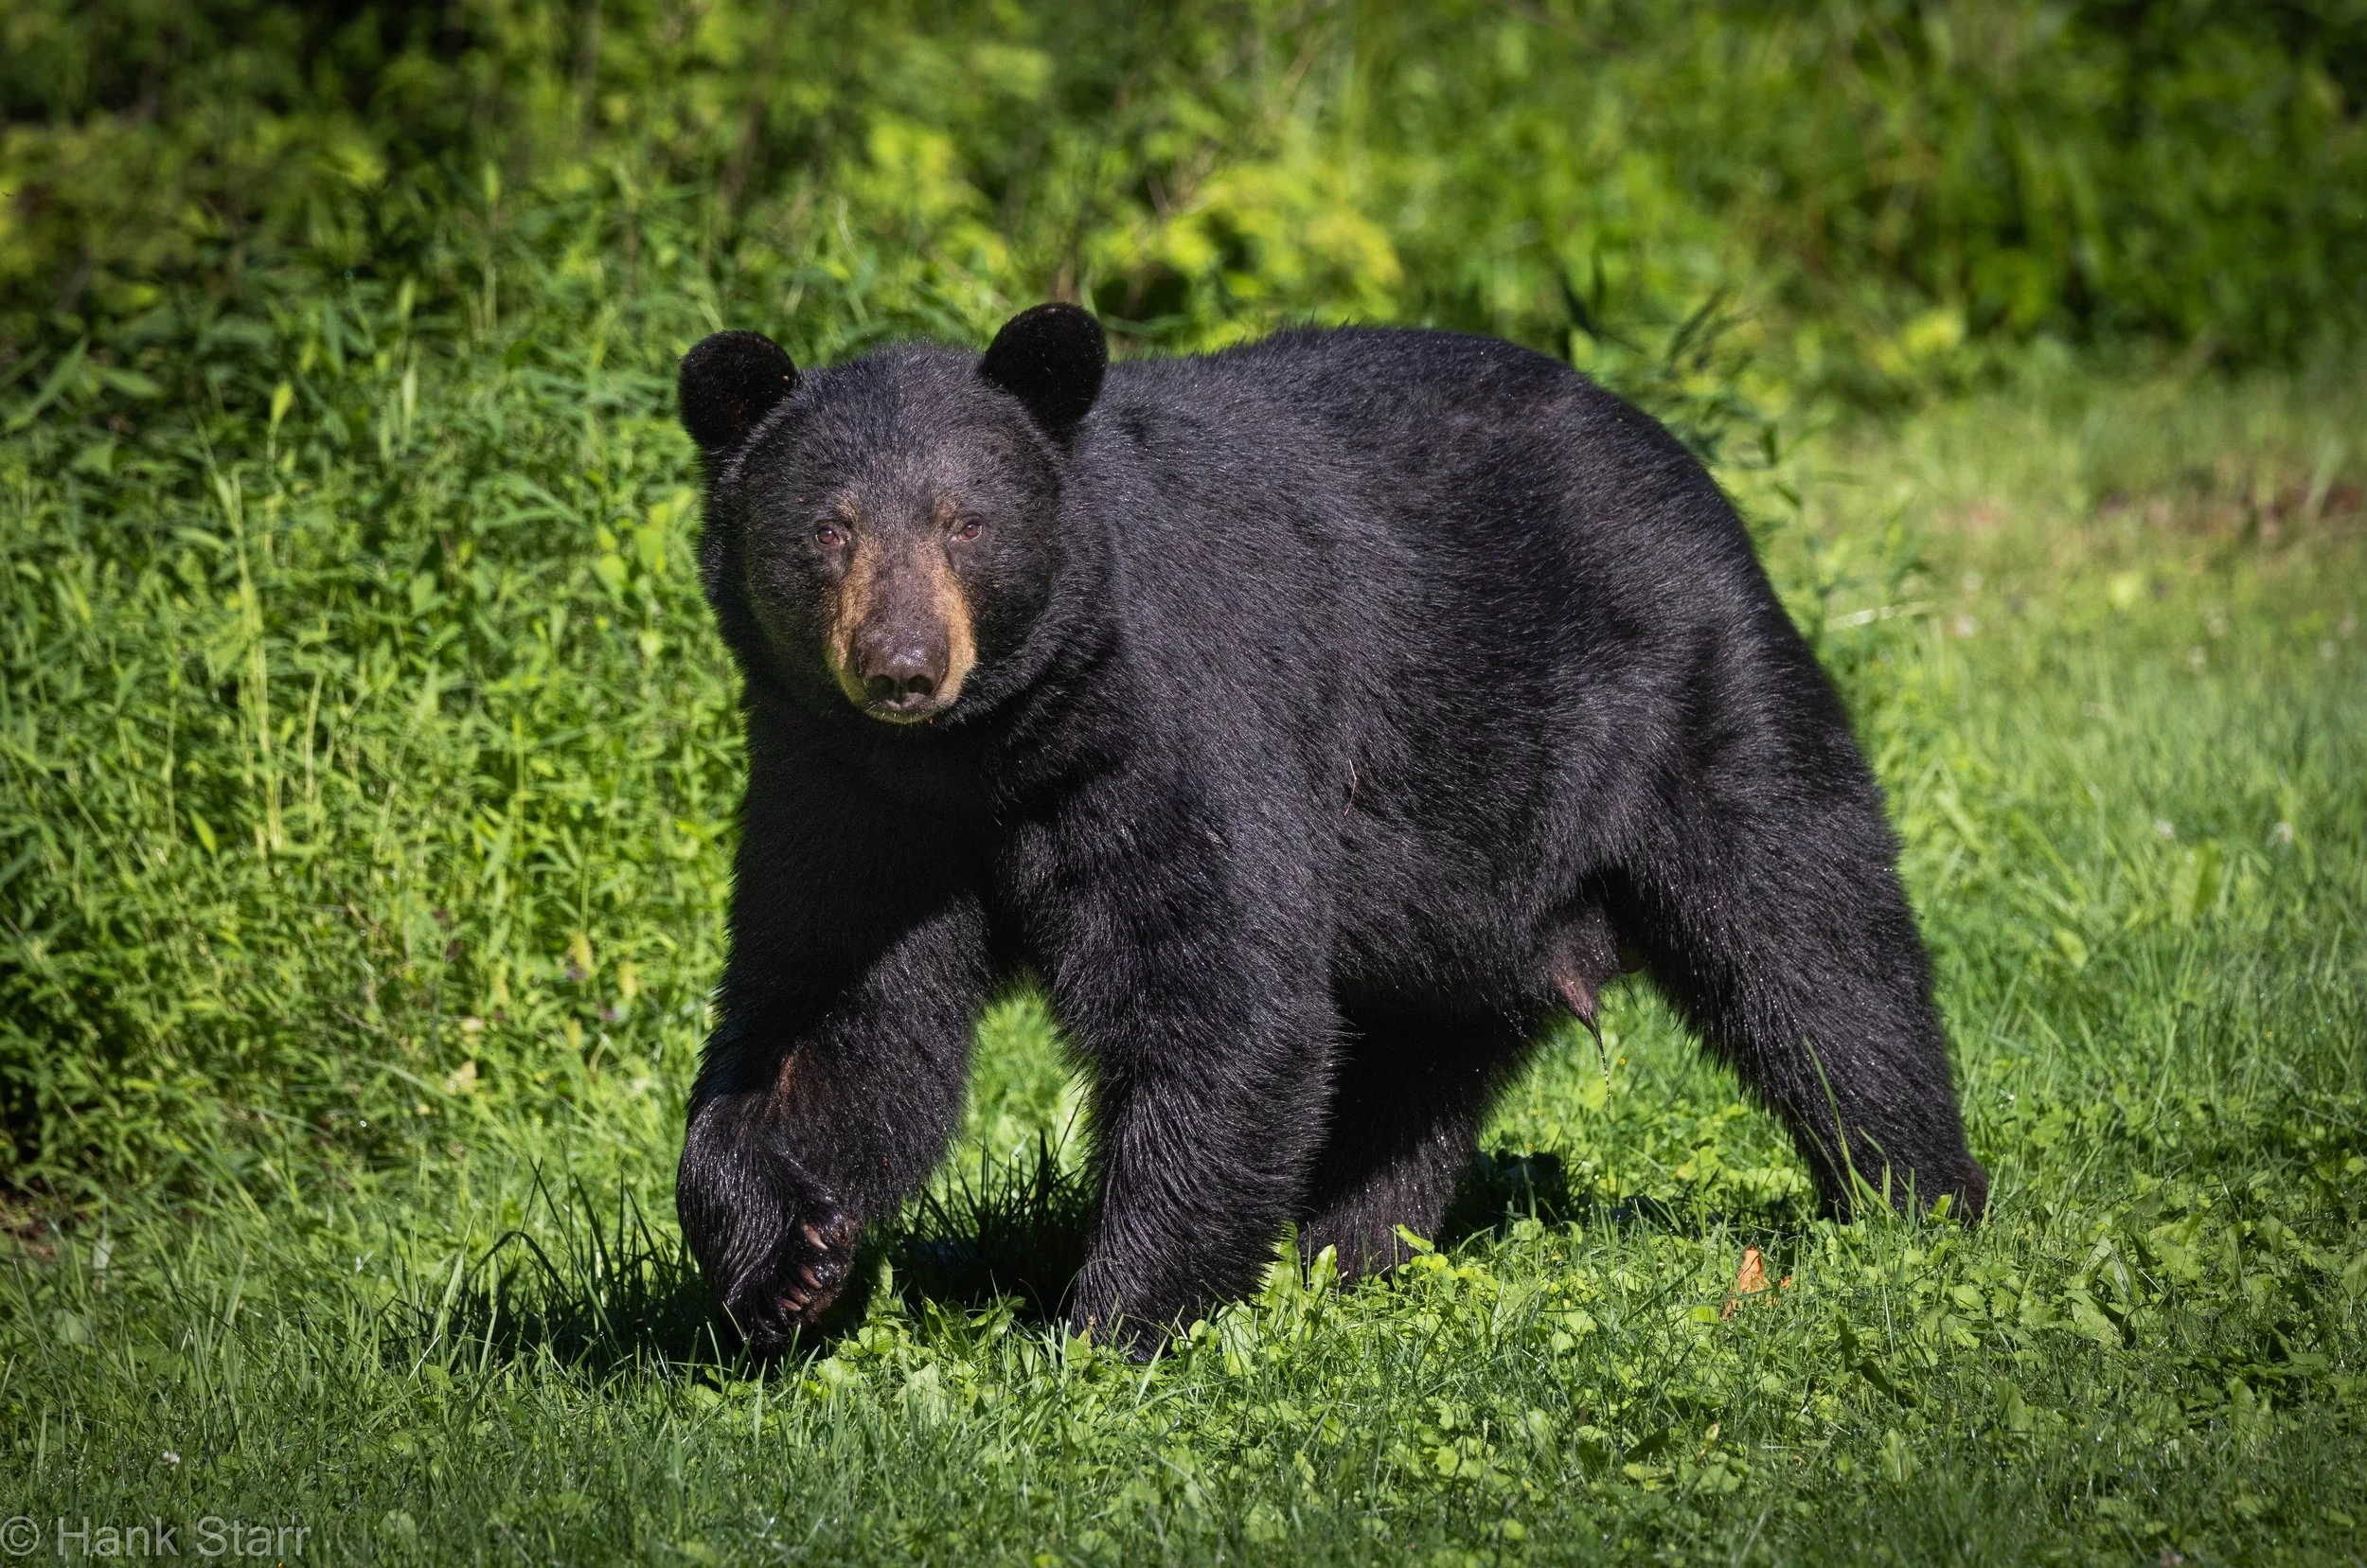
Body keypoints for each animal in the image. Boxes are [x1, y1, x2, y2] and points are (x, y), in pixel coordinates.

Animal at [673, 303, 1989, 1356]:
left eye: (965, 522)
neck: (984, 753)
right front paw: (783, 1261)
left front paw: (1110, 1329)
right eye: (829, 528)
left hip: (1686, 696)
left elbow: (1219, 995)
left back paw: (1917, 1199)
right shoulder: (845, 793)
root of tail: (1681, 462)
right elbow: (840, 1020)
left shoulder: (1184, 719)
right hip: (1448, 890)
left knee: (1812, 951)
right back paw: (1339, 1252)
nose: (901, 665)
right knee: (1404, 1076)